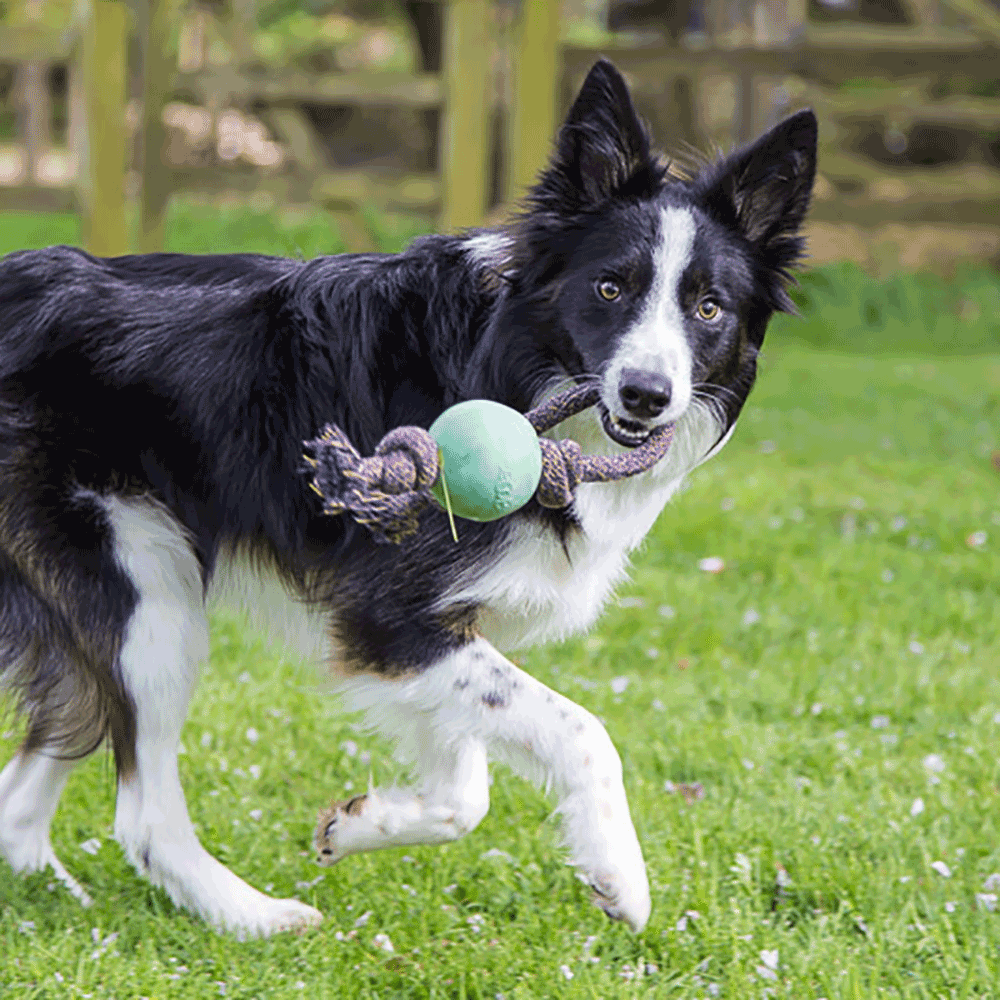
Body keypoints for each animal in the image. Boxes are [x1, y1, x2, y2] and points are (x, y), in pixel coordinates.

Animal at [0, 62, 812, 936]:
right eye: (609, 287)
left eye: (708, 308)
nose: (647, 396)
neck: (505, 361)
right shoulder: (386, 616)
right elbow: (580, 732)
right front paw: (619, 876)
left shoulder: (437, 631)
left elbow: (465, 789)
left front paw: (360, 824)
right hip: (148, 593)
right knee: (143, 813)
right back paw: (255, 917)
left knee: (42, 761)